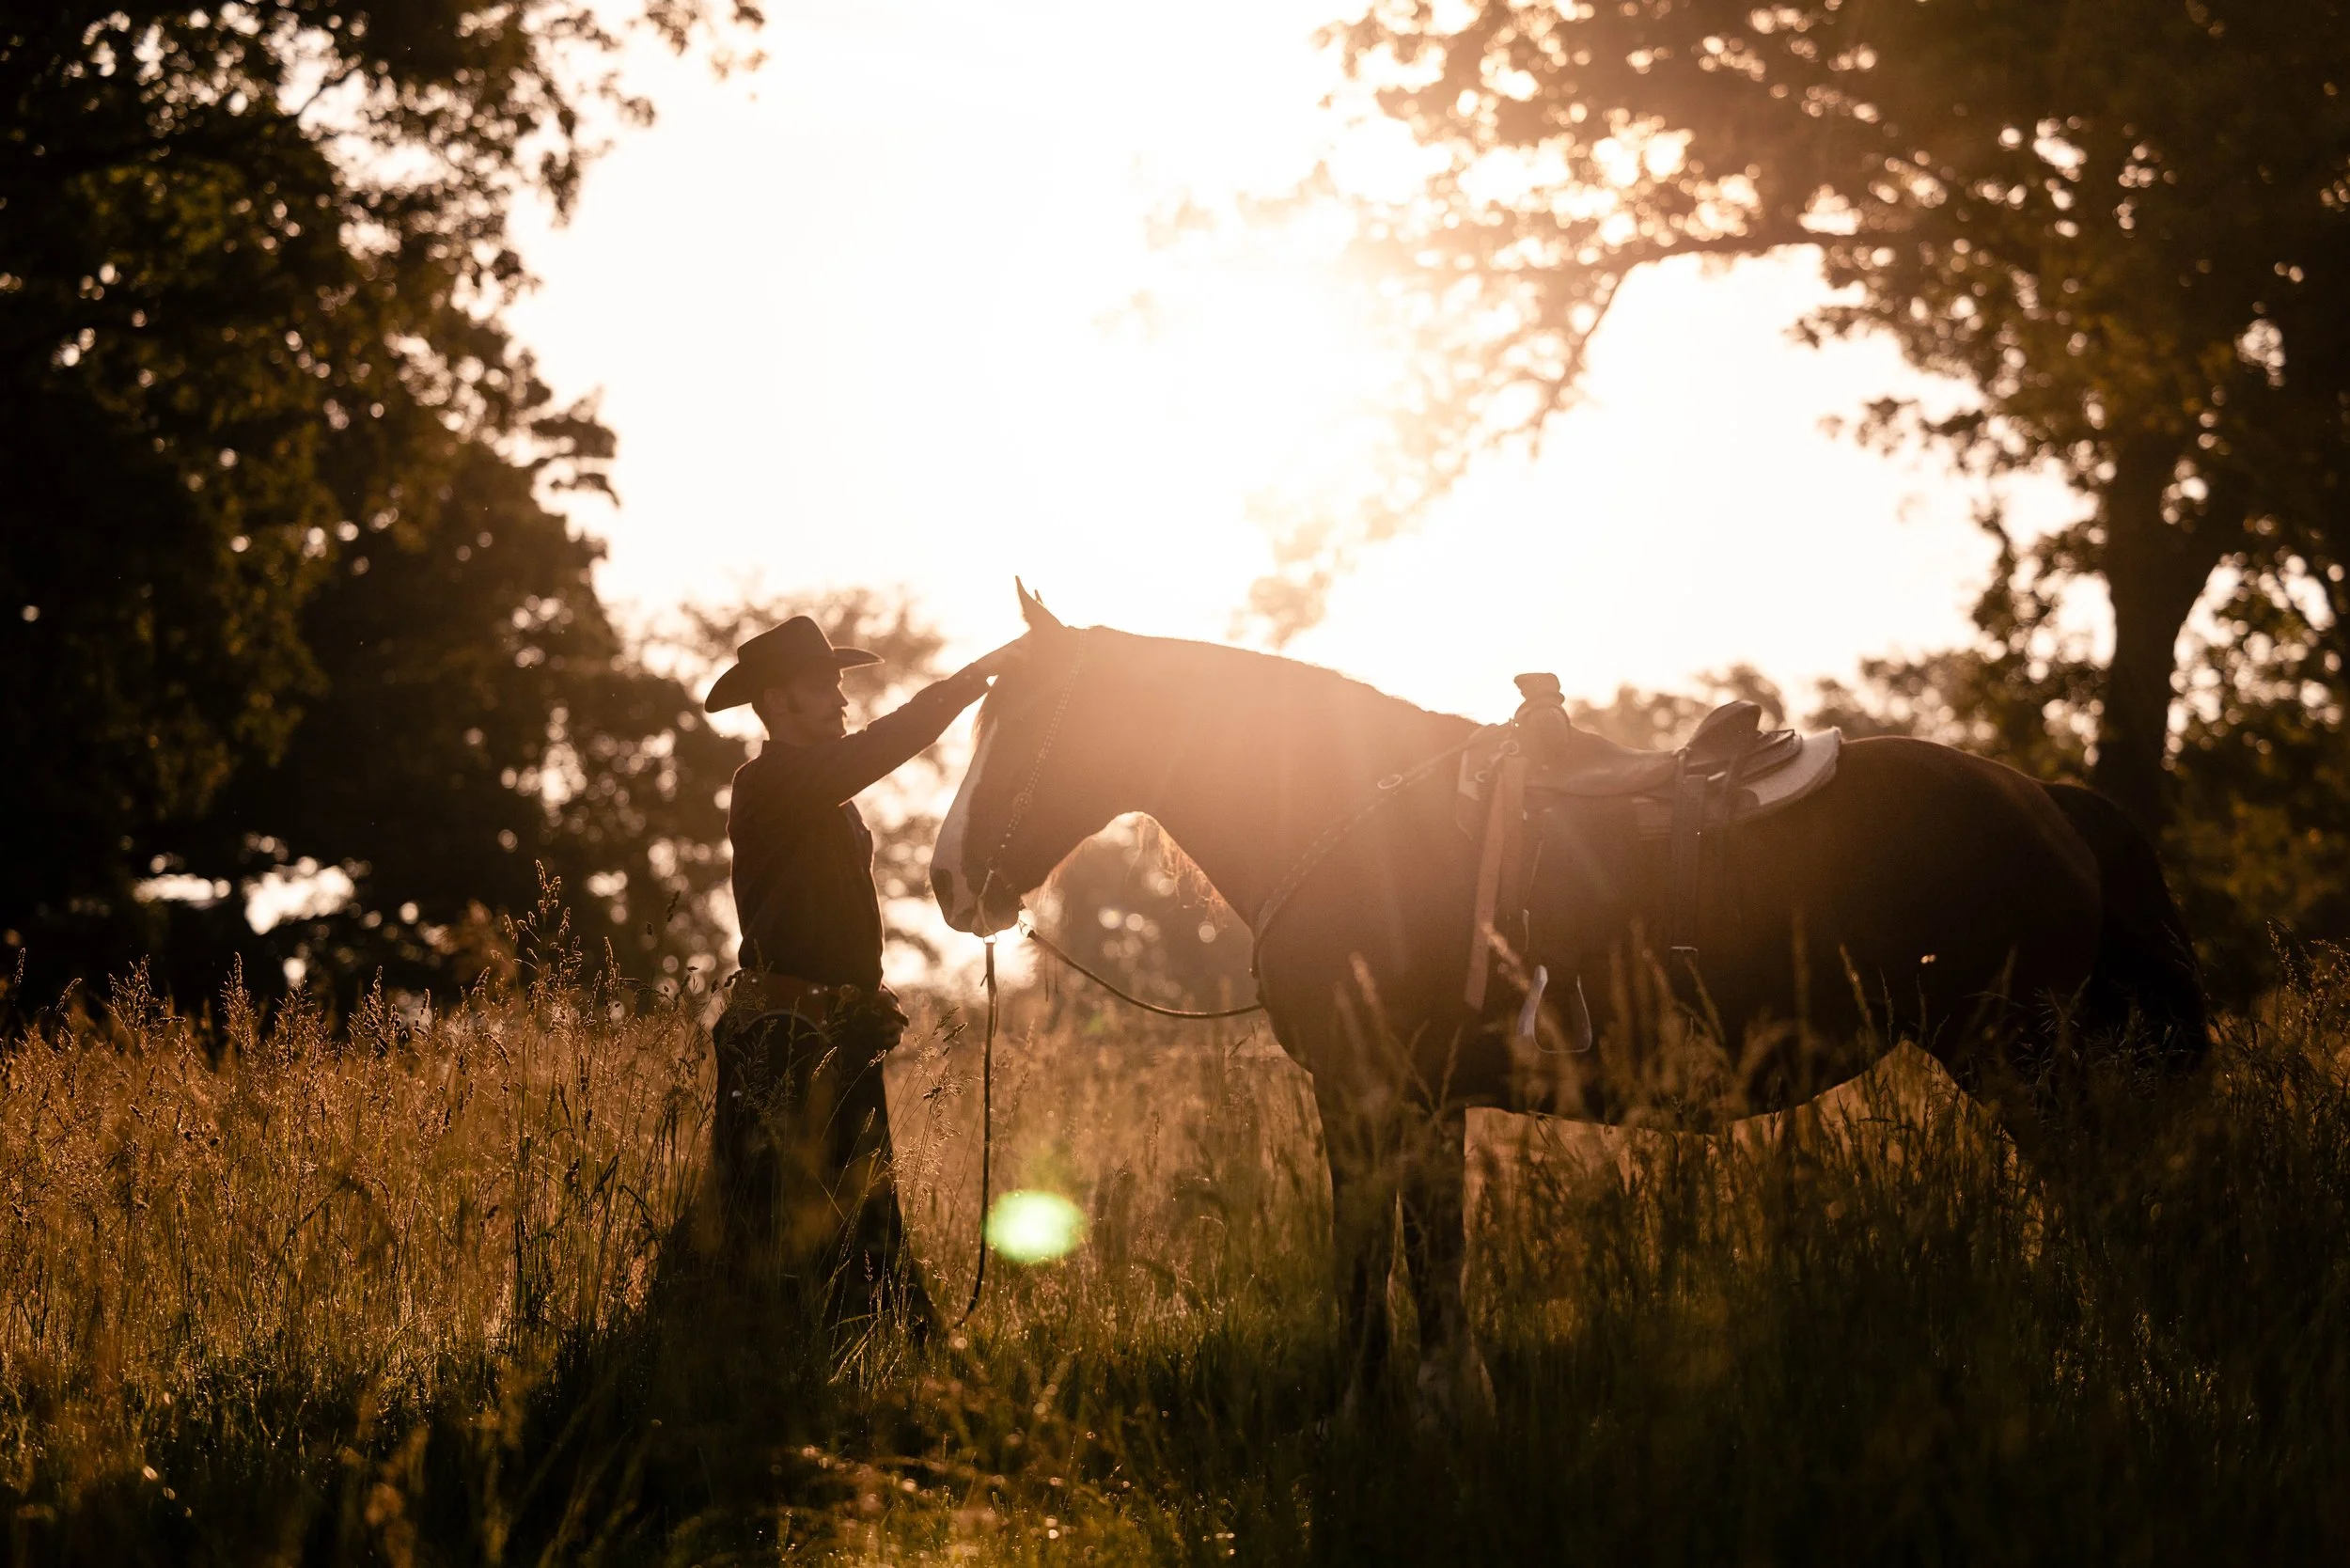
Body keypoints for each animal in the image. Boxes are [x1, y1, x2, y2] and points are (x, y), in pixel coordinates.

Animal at [932, 585, 2210, 1396]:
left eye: (1020, 721)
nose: (948, 882)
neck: (1356, 819)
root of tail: (2047, 800)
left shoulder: (1363, 1098)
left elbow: (1364, 1278)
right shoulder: (1426, 1106)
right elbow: (1435, 1269)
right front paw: (1450, 1414)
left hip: (2022, 1060)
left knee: (2113, 1210)